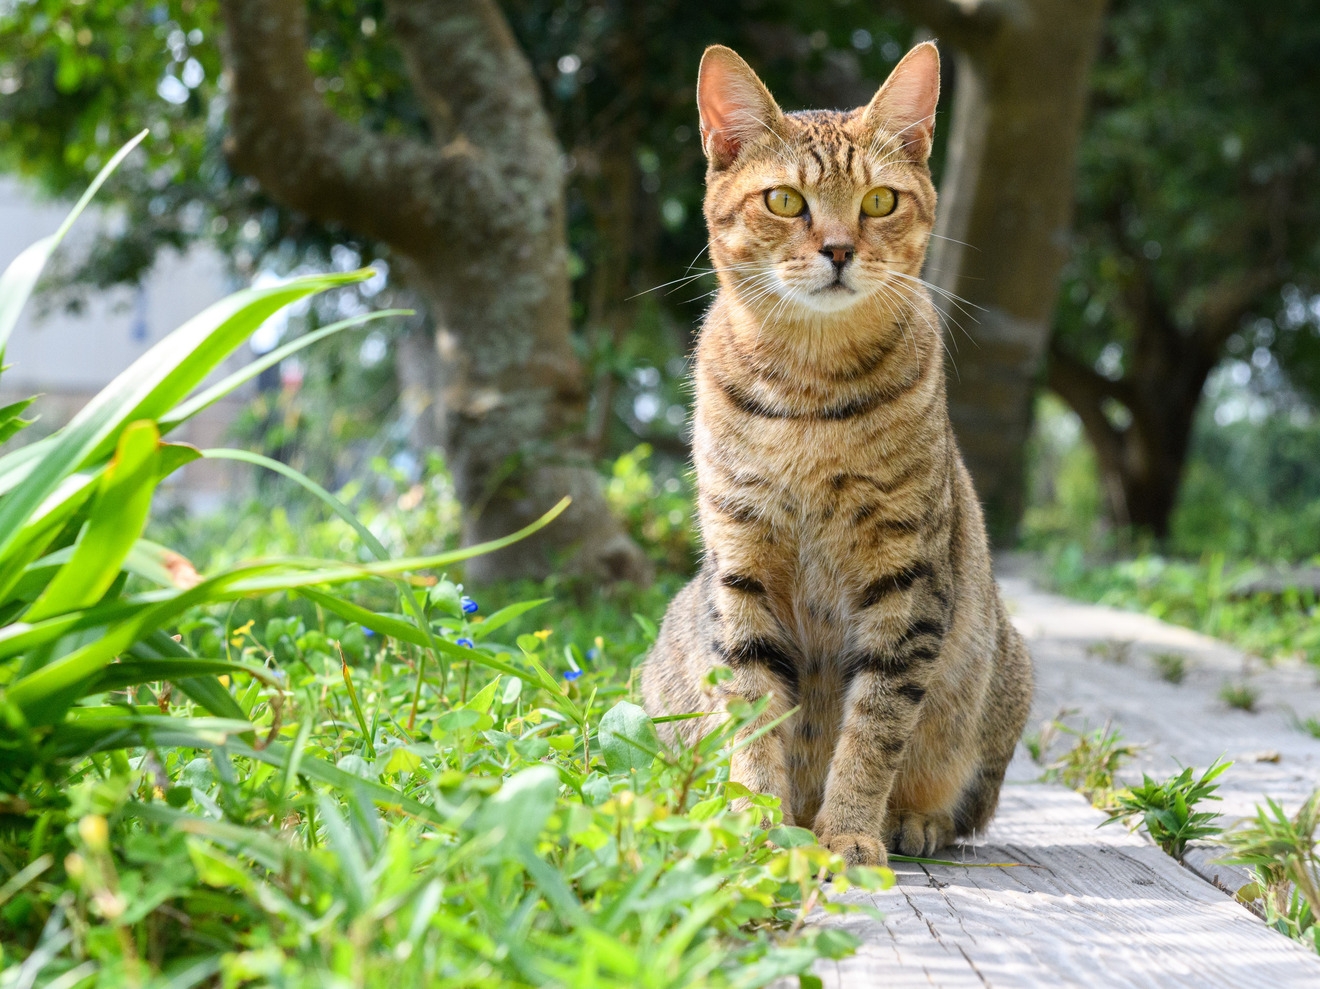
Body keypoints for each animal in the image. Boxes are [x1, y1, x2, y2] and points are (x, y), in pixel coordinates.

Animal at [638, 40, 1029, 866]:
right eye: (786, 201)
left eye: (879, 202)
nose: (840, 249)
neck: (810, 393)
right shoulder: (741, 565)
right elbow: (754, 711)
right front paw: (759, 820)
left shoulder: (906, 579)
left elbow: (874, 725)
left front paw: (849, 829)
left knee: (962, 797)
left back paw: (913, 819)